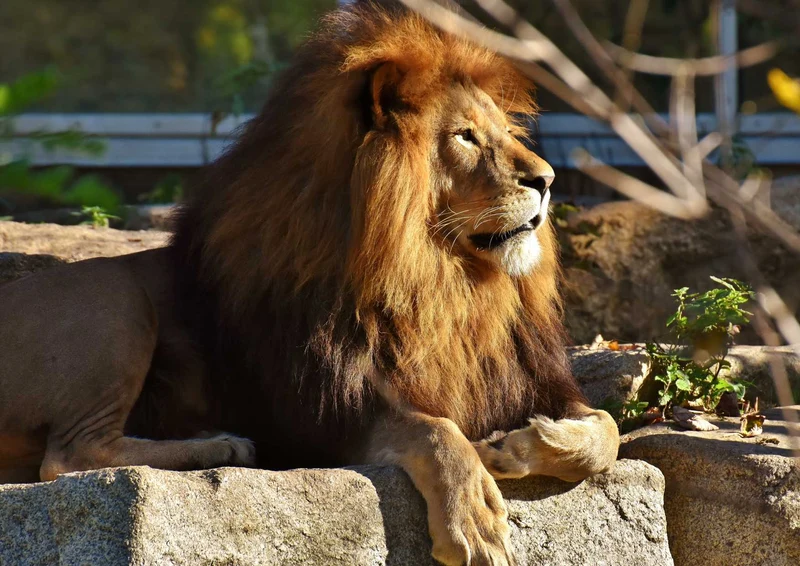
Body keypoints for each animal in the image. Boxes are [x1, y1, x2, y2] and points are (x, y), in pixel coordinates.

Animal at [0, 1, 619, 564]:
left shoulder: (533, 381)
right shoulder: (323, 417)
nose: (547, 180)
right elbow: (434, 429)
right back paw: (221, 446)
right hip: (116, 299)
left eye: (504, 132)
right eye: (465, 137)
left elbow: (606, 431)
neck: (440, 283)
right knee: (69, 456)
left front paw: (521, 445)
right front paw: (474, 518)